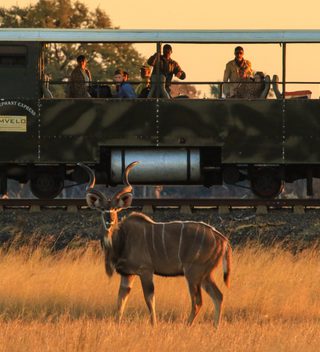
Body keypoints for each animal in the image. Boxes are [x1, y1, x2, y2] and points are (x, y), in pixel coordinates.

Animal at [79, 162, 231, 328]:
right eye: (102, 209)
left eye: (115, 209)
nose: (109, 221)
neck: (123, 240)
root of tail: (223, 240)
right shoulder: (127, 274)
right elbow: (120, 301)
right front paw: (117, 324)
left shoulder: (145, 270)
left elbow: (149, 299)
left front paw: (154, 326)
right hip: (205, 275)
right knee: (218, 296)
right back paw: (215, 327)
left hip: (193, 273)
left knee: (198, 301)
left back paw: (186, 326)